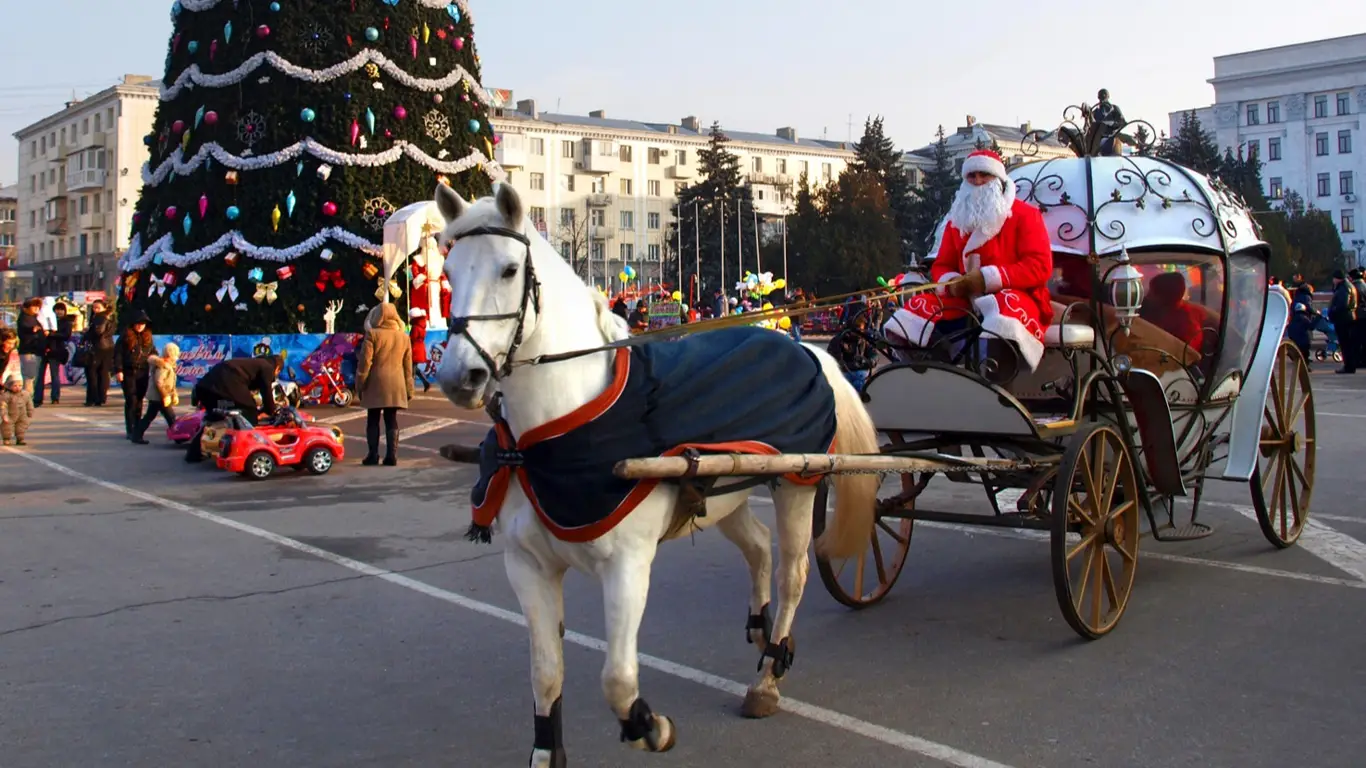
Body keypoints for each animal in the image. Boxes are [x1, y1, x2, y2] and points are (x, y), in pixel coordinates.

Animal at [437, 181, 879, 759]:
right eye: (447, 272)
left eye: (510, 270)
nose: (458, 376)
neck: (550, 437)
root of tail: (804, 347)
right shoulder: (528, 568)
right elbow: (546, 677)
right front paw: (548, 749)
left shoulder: (627, 566)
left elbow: (618, 680)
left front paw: (650, 725)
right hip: (724, 495)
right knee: (760, 548)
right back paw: (760, 631)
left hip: (795, 486)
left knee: (793, 573)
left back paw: (768, 674)